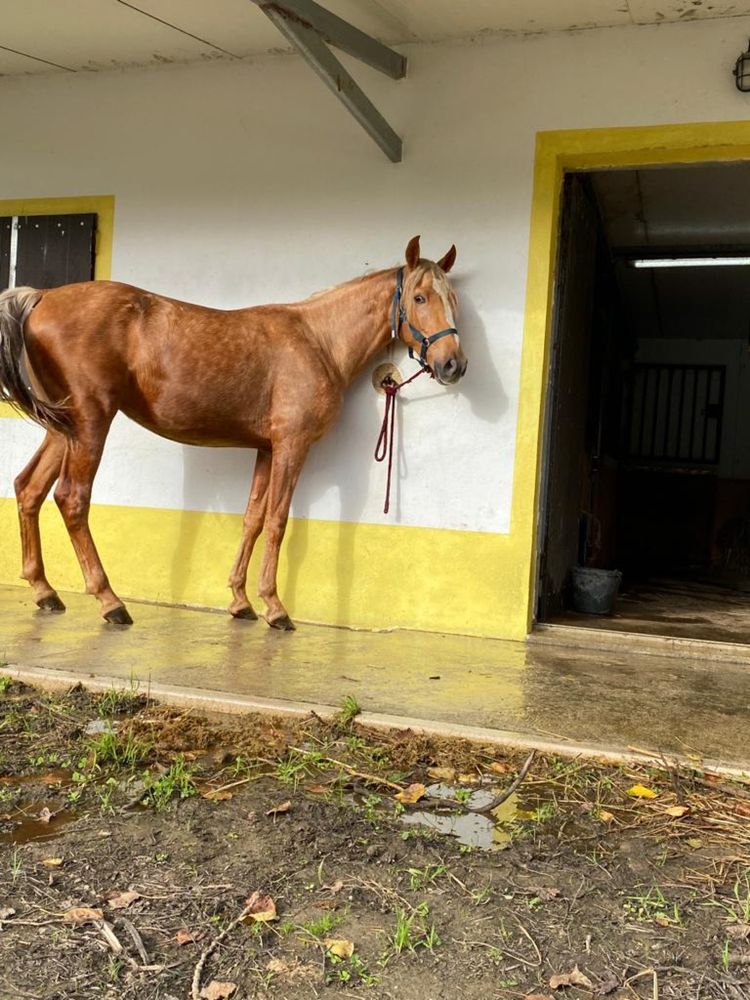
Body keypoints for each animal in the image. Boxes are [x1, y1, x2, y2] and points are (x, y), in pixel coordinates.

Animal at [0, 235, 468, 628]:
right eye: (419, 296)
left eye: (452, 299)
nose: (453, 364)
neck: (318, 340)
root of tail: (41, 298)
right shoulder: (292, 445)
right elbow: (278, 521)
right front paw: (275, 608)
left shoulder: (266, 448)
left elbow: (253, 519)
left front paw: (241, 602)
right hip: (92, 421)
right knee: (71, 498)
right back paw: (110, 601)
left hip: (65, 426)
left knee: (29, 488)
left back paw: (45, 591)